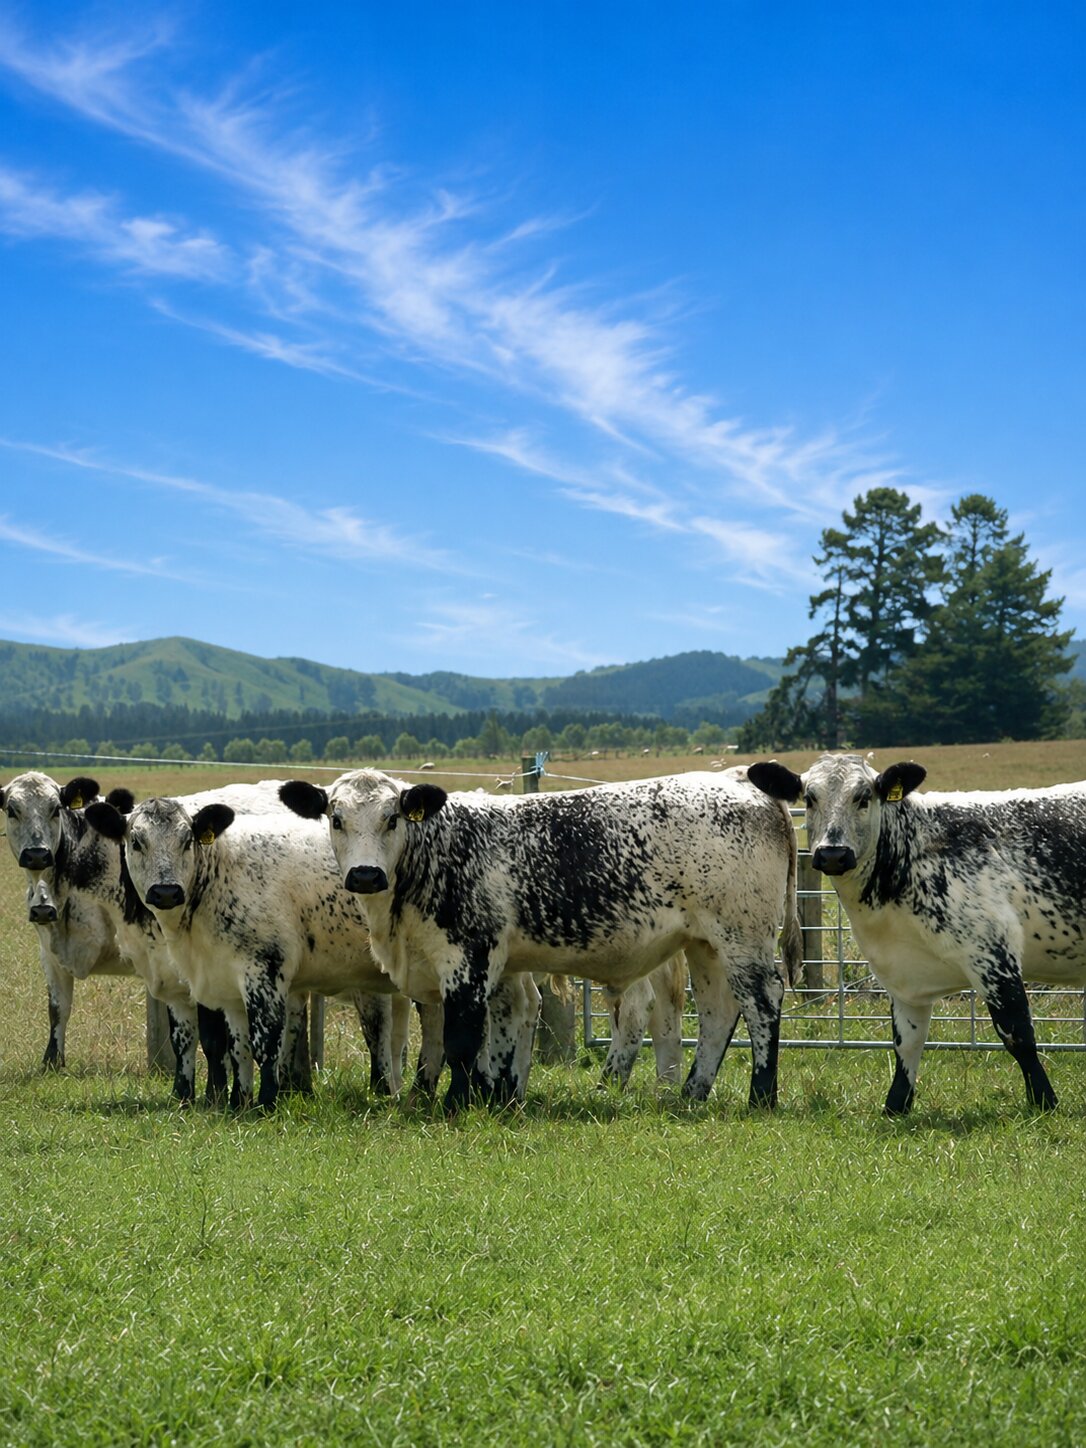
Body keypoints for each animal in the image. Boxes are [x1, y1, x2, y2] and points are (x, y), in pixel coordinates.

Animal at [82, 795, 482, 1110]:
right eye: (136, 842)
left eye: (187, 840)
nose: (166, 892)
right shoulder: (218, 980)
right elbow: (231, 1045)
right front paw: (235, 1102)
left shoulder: (264, 971)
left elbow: (263, 1042)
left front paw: (266, 1101)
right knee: (432, 1029)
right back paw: (420, 1094)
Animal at [279, 768, 801, 1114]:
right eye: (336, 818)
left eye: (393, 818)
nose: (366, 874)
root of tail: (738, 778)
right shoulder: (493, 967)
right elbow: (499, 1033)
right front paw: (494, 1096)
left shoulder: (468, 958)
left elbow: (462, 1038)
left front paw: (456, 1105)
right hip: (706, 944)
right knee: (718, 1012)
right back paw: (692, 1094)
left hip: (743, 936)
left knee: (761, 1002)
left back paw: (761, 1095)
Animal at [747, 752, 1086, 1114]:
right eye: (810, 799)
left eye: (863, 797)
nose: (833, 854)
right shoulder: (902, 973)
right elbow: (906, 1042)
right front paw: (896, 1105)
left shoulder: (994, 954)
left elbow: (1017, 1033)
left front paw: (1044, 1101)